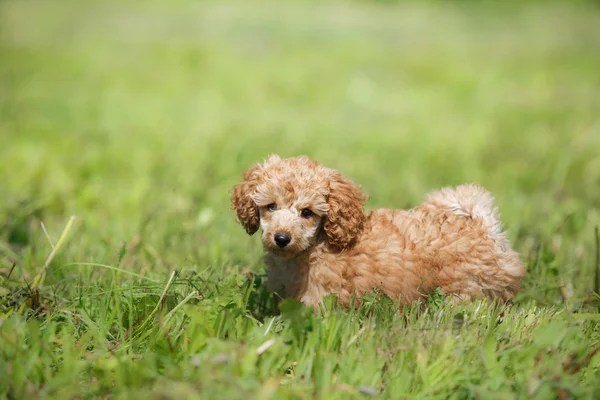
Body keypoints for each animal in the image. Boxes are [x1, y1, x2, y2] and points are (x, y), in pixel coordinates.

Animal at [231, 154, 524, 310]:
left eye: (307, 213)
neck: (315, 245)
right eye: (270, 207)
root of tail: (482, 224)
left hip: (466, 289)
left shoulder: (320, 296)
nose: (281, 238)